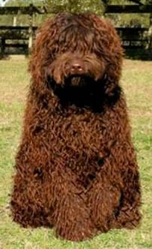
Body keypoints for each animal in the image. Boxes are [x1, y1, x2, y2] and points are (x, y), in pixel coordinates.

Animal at [10, 12, 141, 241]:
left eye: (91, 46)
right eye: (62, 47)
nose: (76, 66)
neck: (79, 100)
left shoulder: (113, 151)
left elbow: (104, 190)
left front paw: (99, 222)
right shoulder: (53, 157)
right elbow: (66, 195)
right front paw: (77, 229)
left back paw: (126, 218)